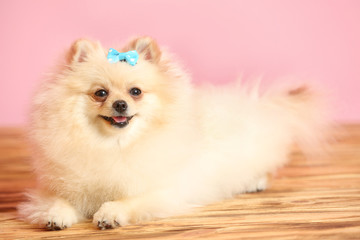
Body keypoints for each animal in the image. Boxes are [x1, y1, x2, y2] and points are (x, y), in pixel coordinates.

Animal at [18, 36, 330, 230]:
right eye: (100, 93)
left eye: (135, 92)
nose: (120, 104)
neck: (113, 145)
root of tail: (255, 103)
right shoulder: (60, 184)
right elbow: (57, 200)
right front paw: (56, 215)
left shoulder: (162, 190)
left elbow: (129, 200)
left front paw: (110, 213)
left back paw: (255, 181)